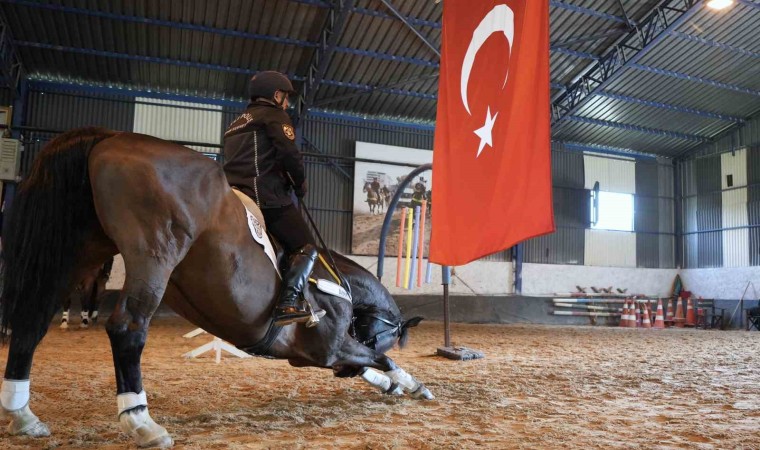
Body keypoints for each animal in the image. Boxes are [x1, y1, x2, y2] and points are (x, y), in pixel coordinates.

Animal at [0, 128, 431, 448]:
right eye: (387, 334)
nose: (343, 374)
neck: (339, 284)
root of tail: (109, 137)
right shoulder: (329, 347)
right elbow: (378, 358)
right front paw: (408, 383)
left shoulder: (318, 354)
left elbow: (369, 363)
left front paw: (395, 385)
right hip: (154, 254)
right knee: (127, 328)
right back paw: (141, 422)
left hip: (75, 255)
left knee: (31, 322)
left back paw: (23, 415)